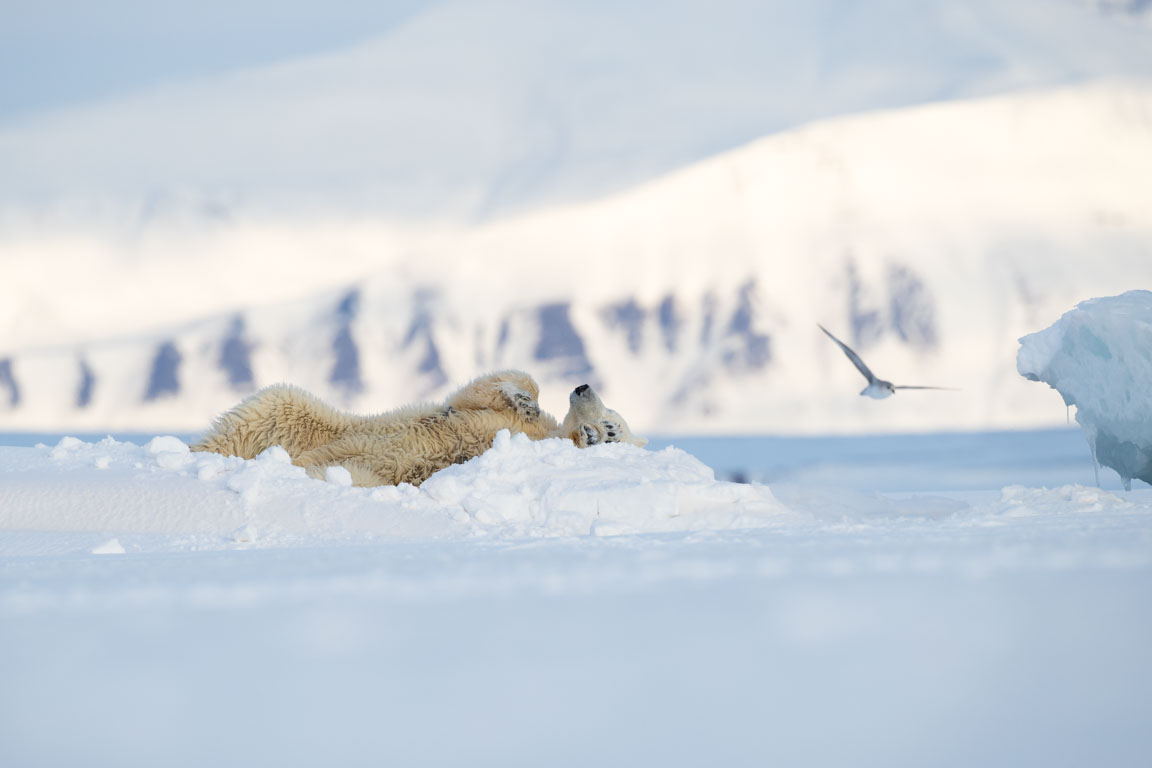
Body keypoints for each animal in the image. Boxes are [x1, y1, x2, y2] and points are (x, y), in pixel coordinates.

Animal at [192, 370, 645, 485]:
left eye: (612, 423)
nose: (583, 387)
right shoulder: (495, 419)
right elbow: (478, 392)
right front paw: (524, 398)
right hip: (316, 424)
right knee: (271, 408)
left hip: (363, 471)